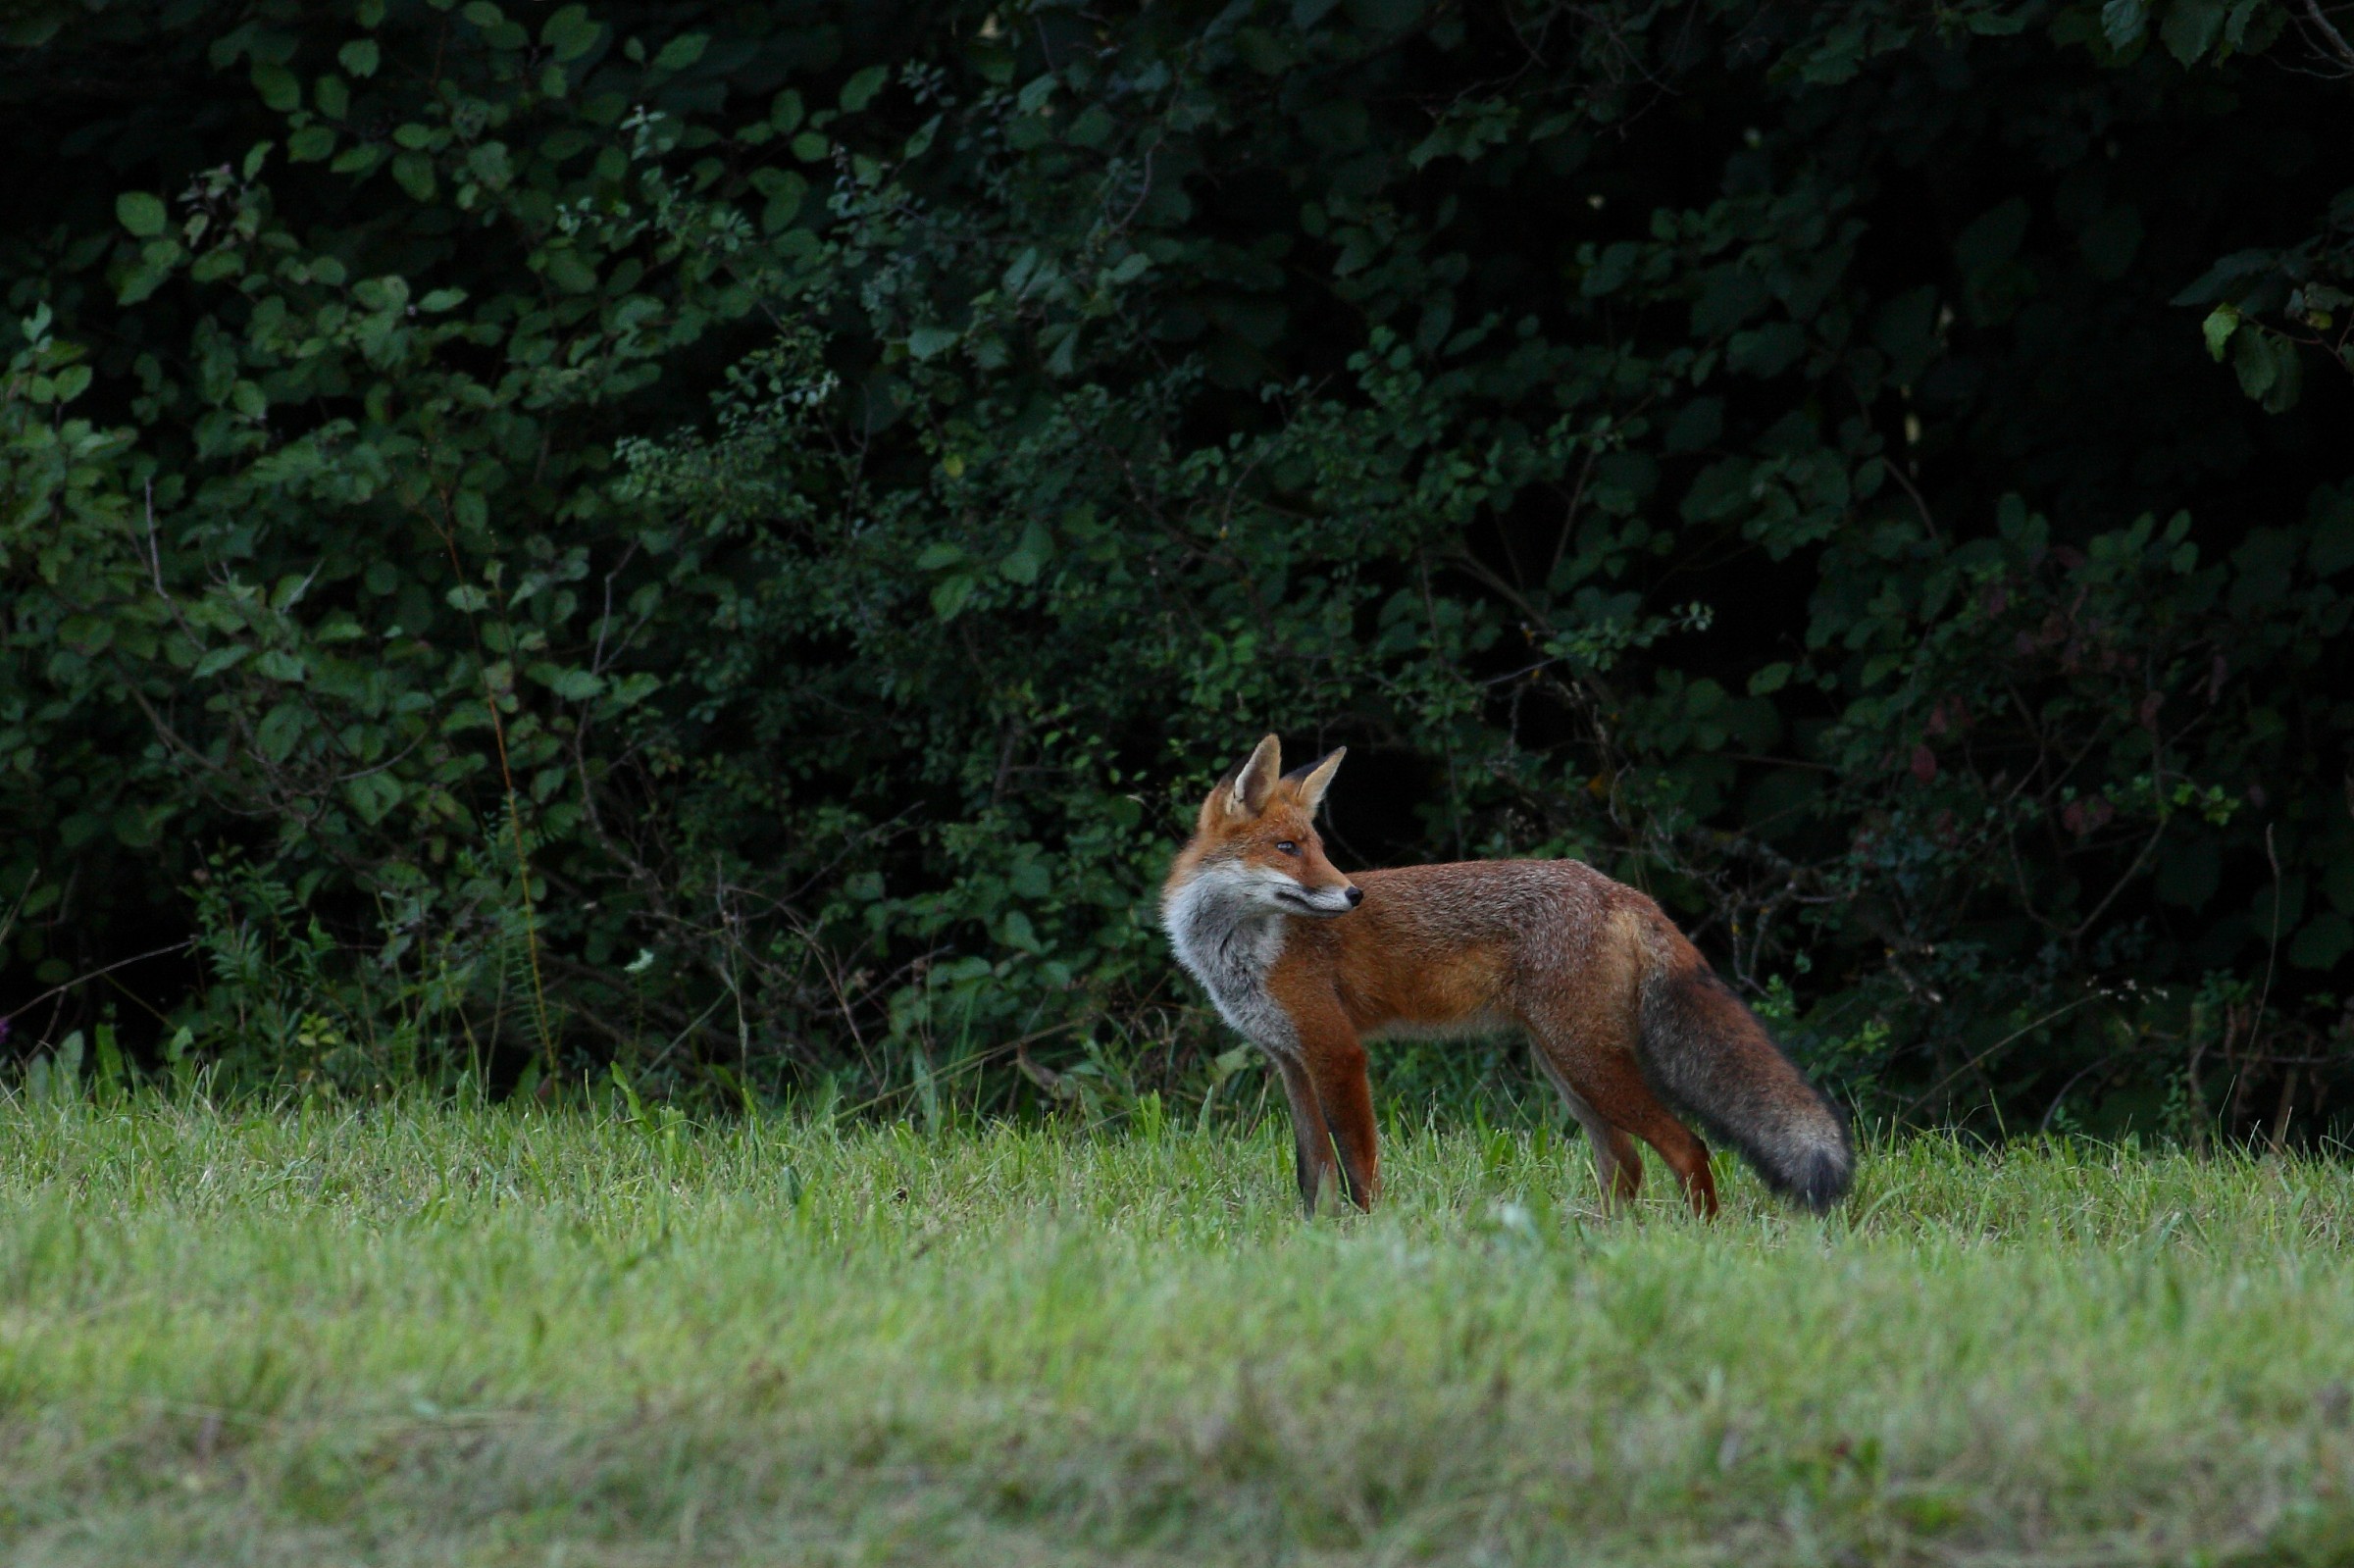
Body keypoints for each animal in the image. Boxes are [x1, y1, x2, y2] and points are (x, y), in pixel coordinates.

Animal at [1160, 734, 1853, 1217]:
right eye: (1287, 849)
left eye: (1320, 848)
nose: (1354, 895)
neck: (1240, 952)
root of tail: (1618, 888)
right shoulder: (1291, 1061)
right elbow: (1313, 1176)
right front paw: (1315, 1243)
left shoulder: (1337, 1052)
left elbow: (1358, 1169)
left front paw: (1366, 1236)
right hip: (1566, 1066)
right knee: (1625, 1162)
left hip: (1586, 1063)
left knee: (1687, 1146)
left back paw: (1698, 1238)